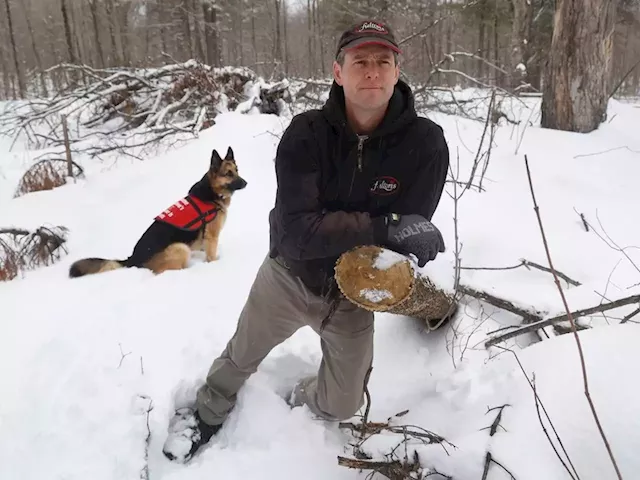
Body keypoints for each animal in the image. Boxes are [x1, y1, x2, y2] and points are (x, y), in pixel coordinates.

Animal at [68, 146, 248, 278]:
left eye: (237, 170)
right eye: (228, 174)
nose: (246, 183)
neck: (211, 193)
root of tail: (132, 259)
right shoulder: (211, 236)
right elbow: (211, 256)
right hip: (180, 248)